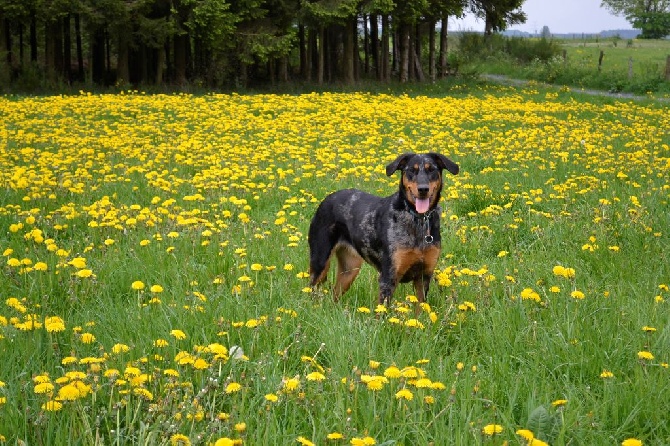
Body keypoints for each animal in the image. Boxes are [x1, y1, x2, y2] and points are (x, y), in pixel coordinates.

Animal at [312, 154, 462, 306]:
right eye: (411, 170)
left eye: (431, 169)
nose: (423, 189)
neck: (417, 219)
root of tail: (328, 198)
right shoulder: (389, 277)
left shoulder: (423, 276)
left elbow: (420, 309)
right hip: (320, 261)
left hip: (349, 269)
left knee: (334, 294)